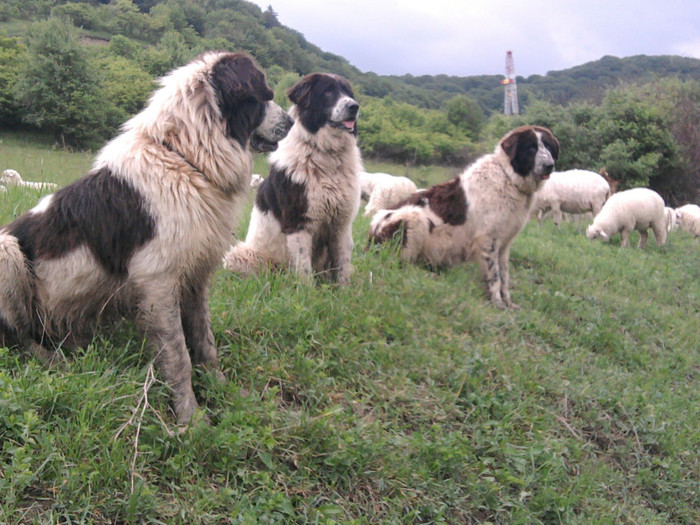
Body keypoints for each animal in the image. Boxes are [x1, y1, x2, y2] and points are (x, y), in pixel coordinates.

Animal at [224, 72, 364, 282]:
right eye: (328, 92)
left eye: (348, 93)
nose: (354, 107)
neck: (326, 157)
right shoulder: (299, 221)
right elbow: (304, 268)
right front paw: (306, 289)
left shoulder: (342, 223)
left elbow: (343, 265)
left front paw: (344, 289)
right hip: (242, 256)